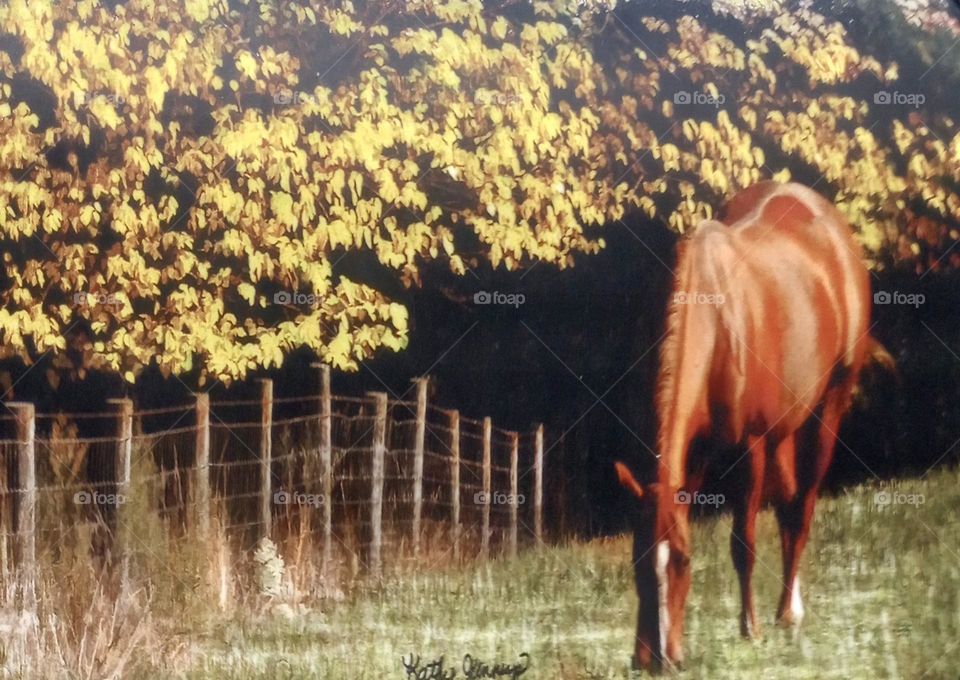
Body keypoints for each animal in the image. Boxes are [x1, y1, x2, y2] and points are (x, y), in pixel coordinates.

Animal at [615, 181, 891, 671]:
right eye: (636, 561)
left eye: (684, 561)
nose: (657, 659)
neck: (718, 324)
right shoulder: (703, 455)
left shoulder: (751, 447)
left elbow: (742, 542)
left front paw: (750, 629)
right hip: (786, 429)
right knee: (787, 505)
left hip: (828, 409)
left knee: (802, 507)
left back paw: (786, 613)